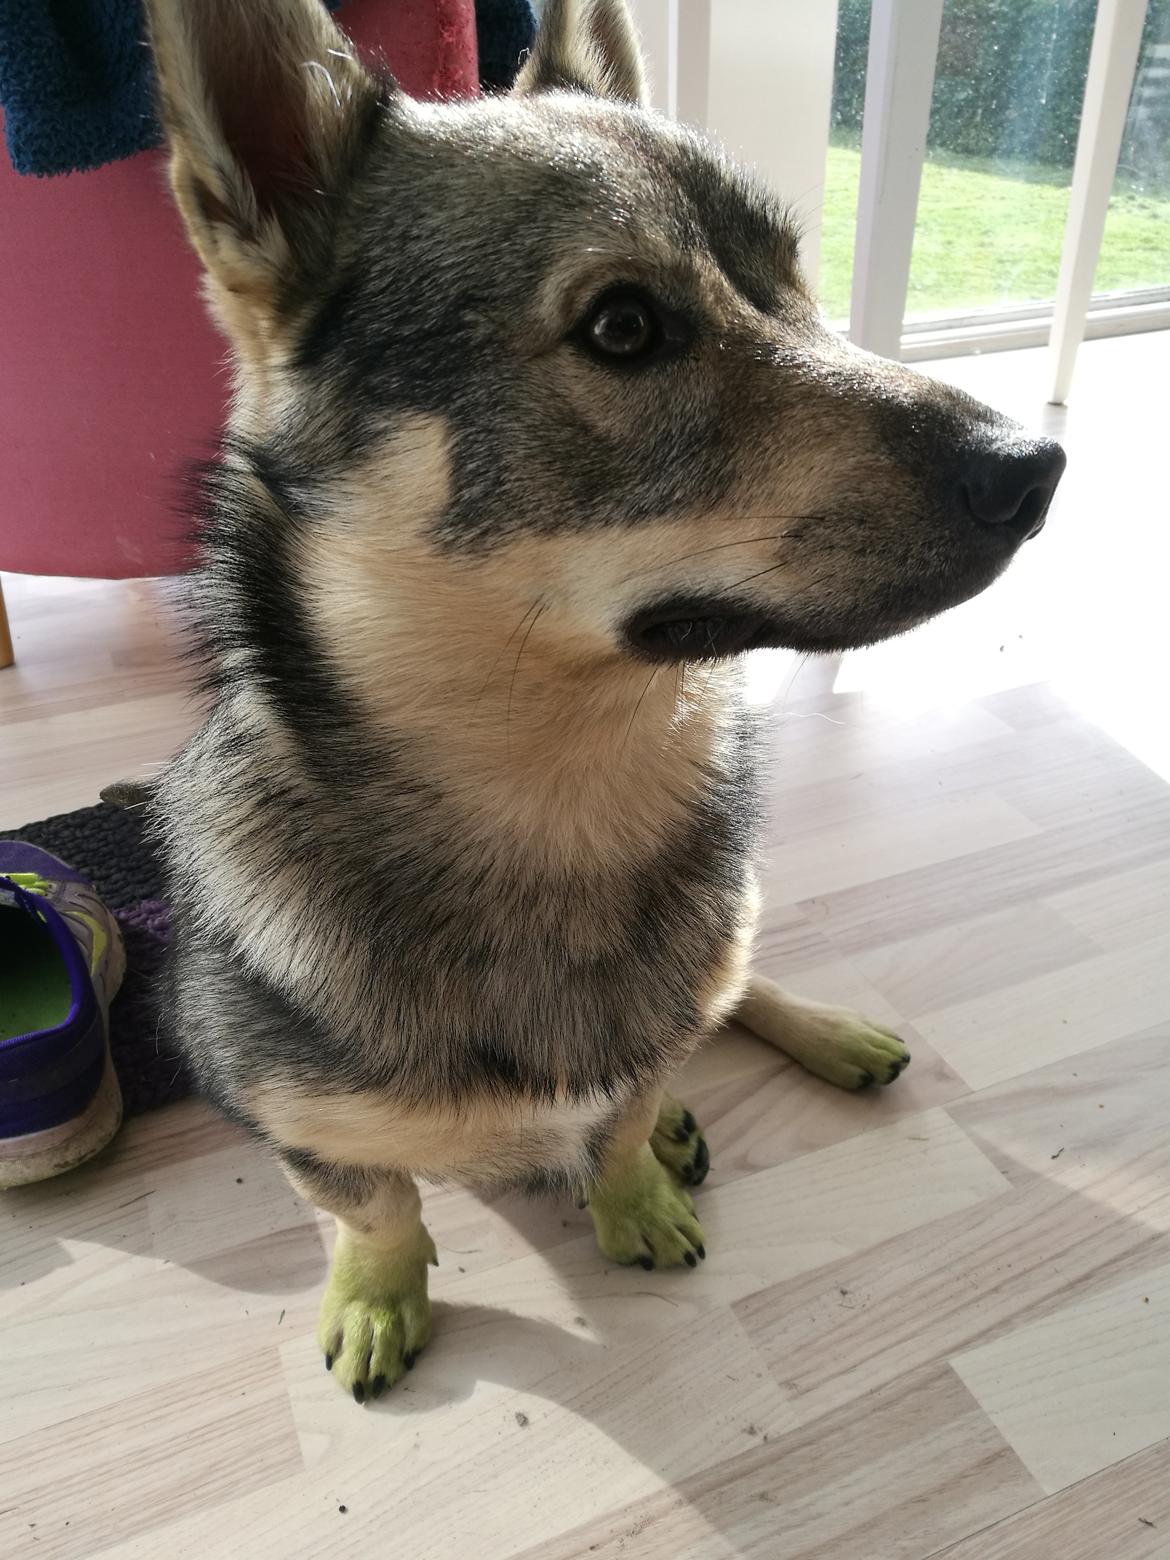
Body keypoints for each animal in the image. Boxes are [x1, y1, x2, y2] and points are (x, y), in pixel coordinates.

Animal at [141, 0, 1067, 1404]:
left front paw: (637, 1193)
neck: (565, 799)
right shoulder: (299, 1122)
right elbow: (376, 1209)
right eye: (624, 327)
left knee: (737, 982)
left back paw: (822, 1041)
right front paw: (378, 1295)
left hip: (734, 922)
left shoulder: (657, 1018)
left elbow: (627, 1117)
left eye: (793, 283)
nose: (1040, 466)